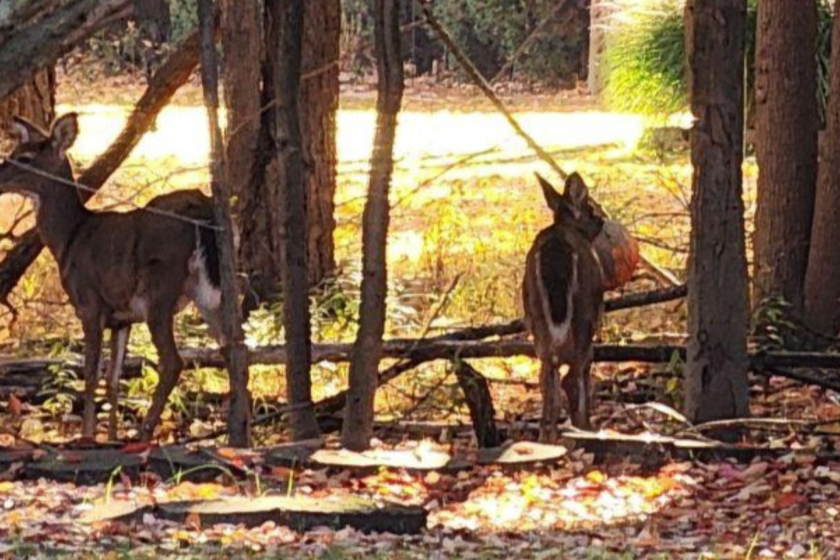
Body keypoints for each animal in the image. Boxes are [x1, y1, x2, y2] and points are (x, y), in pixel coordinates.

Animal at [0, 113, 224, 442]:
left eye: (24, 158)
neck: (69, 237)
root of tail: (202, 210)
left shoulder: (89, 304)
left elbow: (91, 374)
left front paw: (87, 437)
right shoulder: (121, 318)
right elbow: (113, 378)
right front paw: (111, 437)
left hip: (160, 289)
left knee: (173, 361)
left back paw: (143, 433)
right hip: (207, 291)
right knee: (233, 345)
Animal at [522, 172, 605, 442]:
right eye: (592, 208)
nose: (602, 219)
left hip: (534, 314)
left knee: (547, 377)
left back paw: (546, 436)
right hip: (584, 314)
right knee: (572, 374)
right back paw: (583, 428)